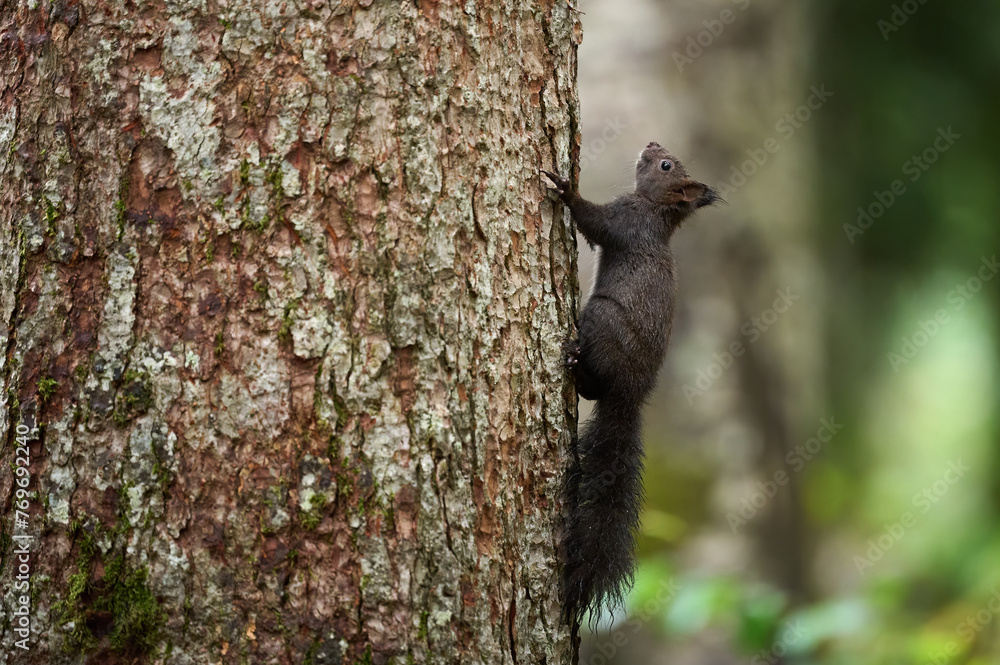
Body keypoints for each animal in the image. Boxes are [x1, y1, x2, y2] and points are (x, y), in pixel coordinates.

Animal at [544, 143, 724, 624]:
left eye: (666, 165)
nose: (652, 145)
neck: (656, 213)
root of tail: (631, 396)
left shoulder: (625, 221)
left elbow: (594, 221)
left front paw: (567, 188)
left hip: (600, 316)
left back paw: (574, 361)